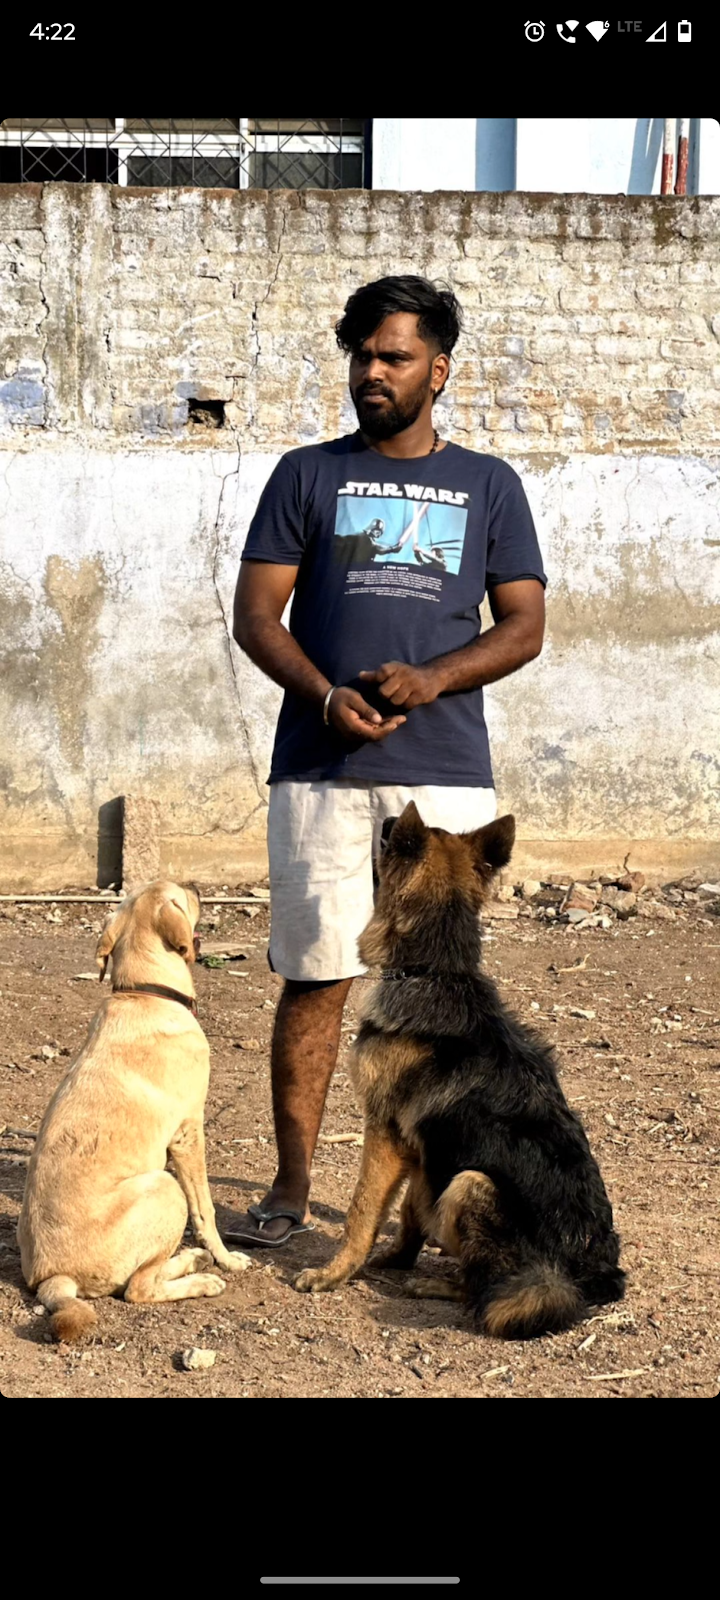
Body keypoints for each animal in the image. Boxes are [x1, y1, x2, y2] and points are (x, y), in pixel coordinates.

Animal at [17, 880, 250, 1342]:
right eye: (184, 896)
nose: (197, 886)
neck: (144, 990)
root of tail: (53, 1279)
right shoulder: (188, 1133)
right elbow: (207, 1210)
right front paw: (227, 1258)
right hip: (164, 1187)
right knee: (139, 1288)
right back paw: (203, 1277)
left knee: (148, 1275)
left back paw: (190, 1261)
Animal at [295, 804, 625, 1338]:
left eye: (391, 838)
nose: (386, 817)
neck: (436, 972)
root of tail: (593, 1276)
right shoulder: (422, 1149)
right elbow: (410, 1209)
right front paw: (395, 1258)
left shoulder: (384, 1133)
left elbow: (361, 1210)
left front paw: (334, 1273)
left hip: (470, 1183)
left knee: (485, 1289)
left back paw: (439, 1284)